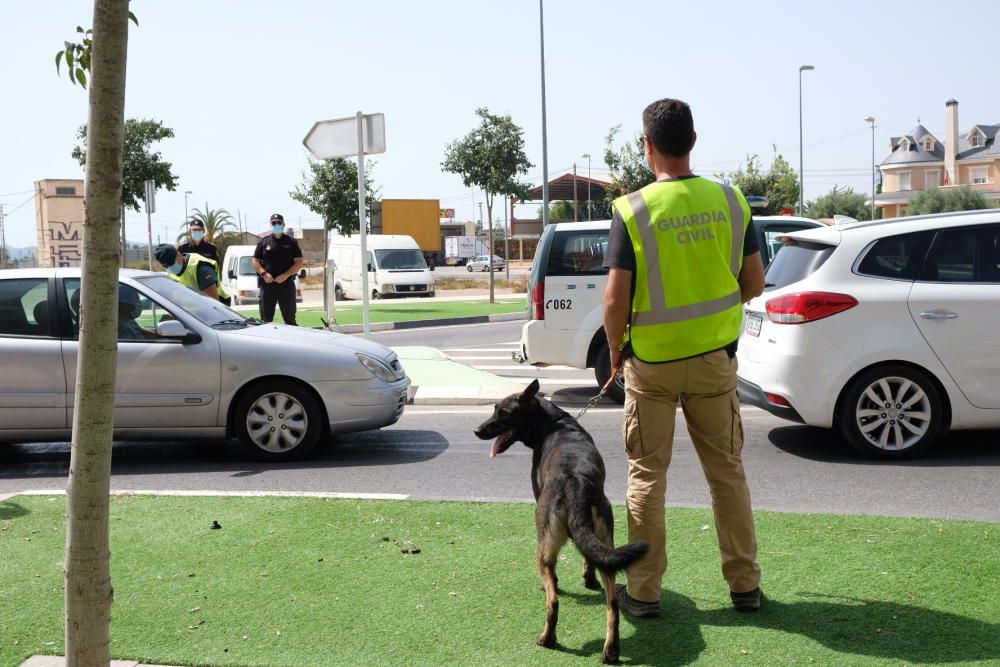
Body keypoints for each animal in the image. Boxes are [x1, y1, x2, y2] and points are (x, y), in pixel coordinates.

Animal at [474, 378, 648, 664]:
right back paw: (611, 650)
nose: (477, 430)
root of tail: (576, 481)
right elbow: (588, 558)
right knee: (611, 603)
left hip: (544, 544)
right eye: (494, 409)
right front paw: (588, 579)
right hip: (605, 536)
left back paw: (548, 638)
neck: (554, 423)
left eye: (504, 413)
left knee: (553, 600)